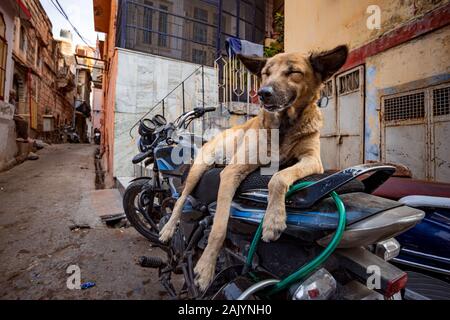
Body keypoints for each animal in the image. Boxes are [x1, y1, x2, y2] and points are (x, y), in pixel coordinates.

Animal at [160, 44, 350, 290]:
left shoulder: (312, 160)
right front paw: (206, 268)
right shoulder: (232, 172)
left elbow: (278, 178)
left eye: (293, 72)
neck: (285, 126)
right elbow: (218, 228)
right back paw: (167, 229)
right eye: (266, 73)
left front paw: (273, 219)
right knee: (180, 200)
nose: (263, 93)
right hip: (198, 170)